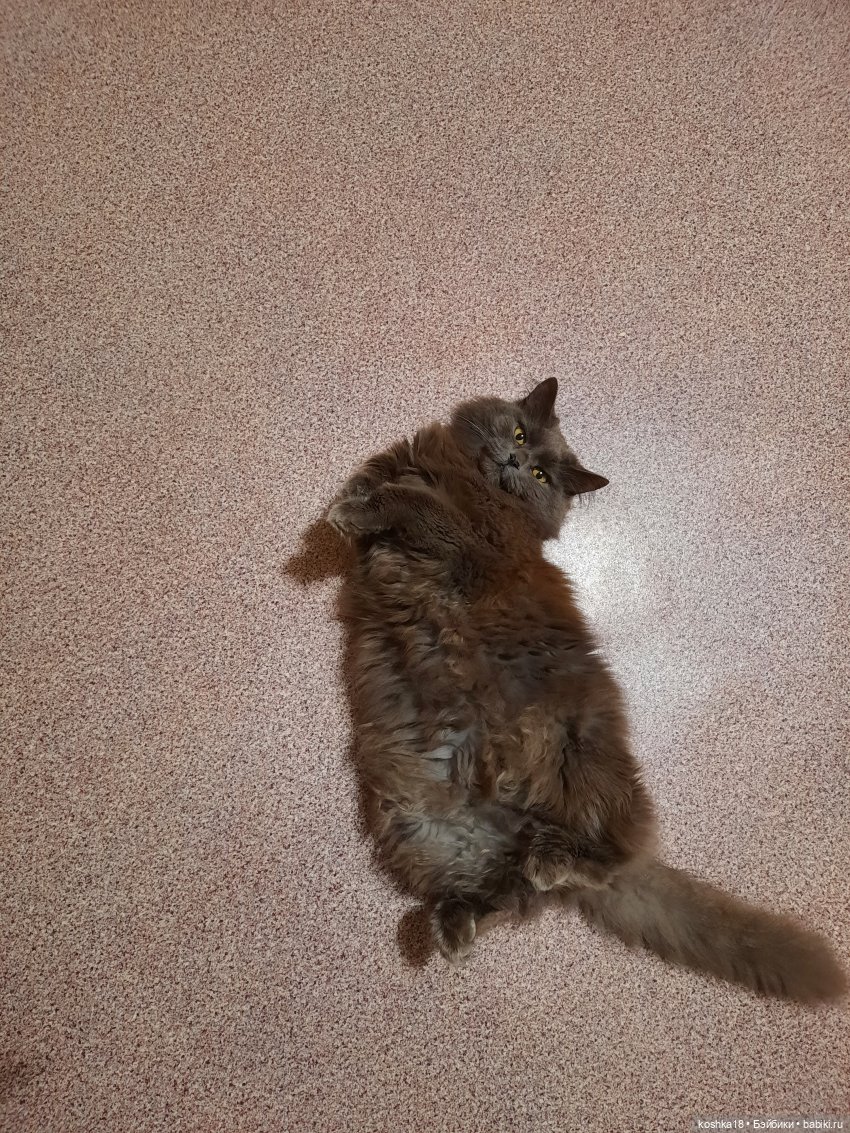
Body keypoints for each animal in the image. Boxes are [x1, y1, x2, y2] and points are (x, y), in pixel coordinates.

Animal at [326, 377, 846, 1002]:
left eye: (540, 474)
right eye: (519, 435)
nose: (514, 461)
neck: (465, 476)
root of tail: (503, 817)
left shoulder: (469, 544)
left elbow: (410, 504)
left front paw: (352, 510)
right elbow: (381, 484)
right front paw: (355, 499)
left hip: (583, 758)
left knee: (612, 854)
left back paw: (550, 864)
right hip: (417, 827)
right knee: (504, 897)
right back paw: (461, 925)